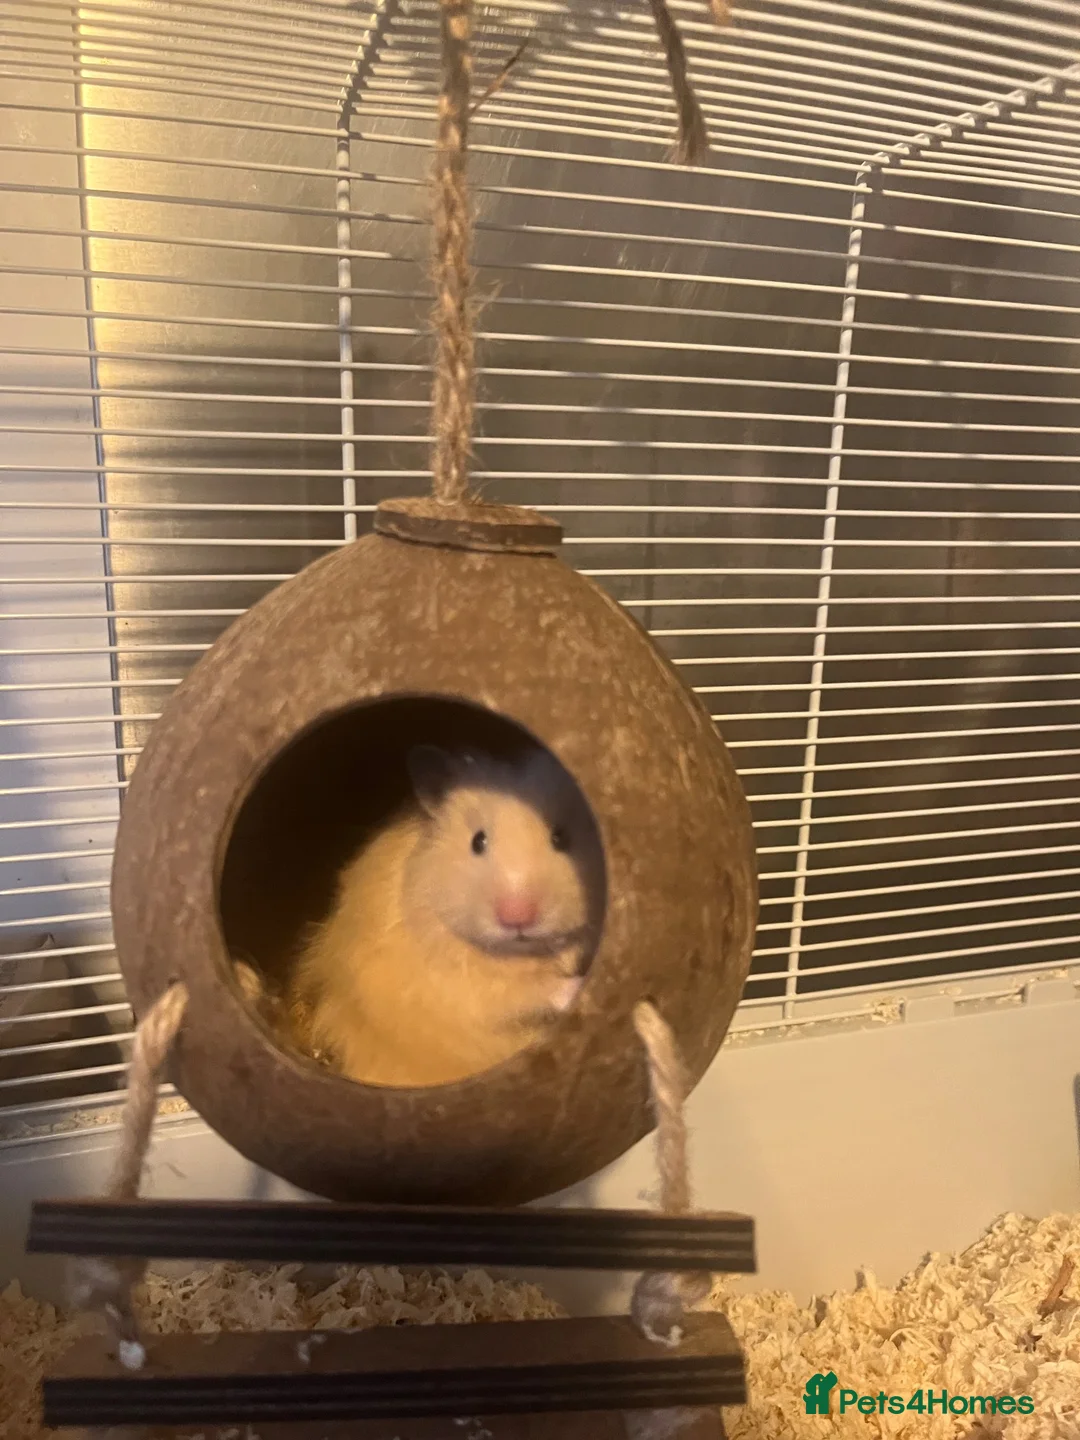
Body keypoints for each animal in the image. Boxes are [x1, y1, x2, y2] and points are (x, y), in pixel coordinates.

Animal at [286, 743, 604, 1088]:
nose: (517, 917)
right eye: (477, 841)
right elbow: (528, 992)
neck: (521, 951)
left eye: (560, 837)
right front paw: (577, 984)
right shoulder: (464, 983)